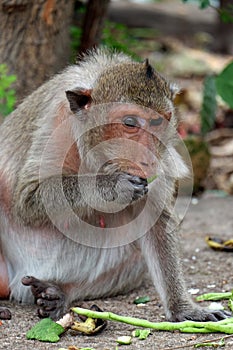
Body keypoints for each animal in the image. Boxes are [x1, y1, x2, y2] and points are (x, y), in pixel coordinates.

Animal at [0, 49, 229, 322]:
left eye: (157, 123)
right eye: (129, 123)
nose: (147, 158)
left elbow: (156, 221)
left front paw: (184, 309)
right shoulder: (56, 122)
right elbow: (28, 198)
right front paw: (112, 184)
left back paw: (59, 291)